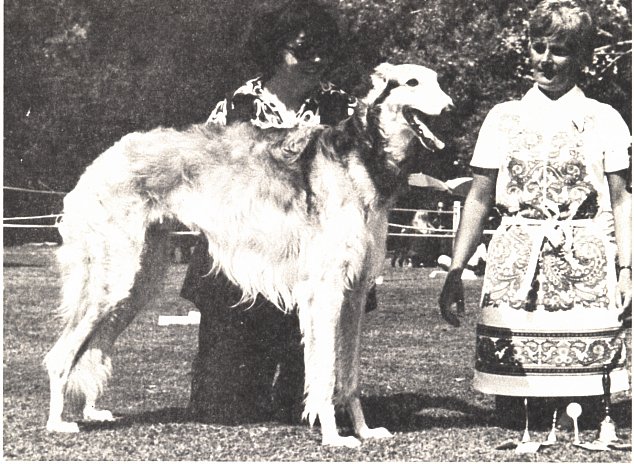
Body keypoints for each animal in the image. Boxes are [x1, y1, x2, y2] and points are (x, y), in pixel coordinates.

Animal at [43, 61, 450, 446]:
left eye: (438, 80)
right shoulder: (325, 291)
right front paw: (334, 437)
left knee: (94, 347)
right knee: (61, 356)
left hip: (138, 282)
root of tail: (102, 160)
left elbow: (348, 376)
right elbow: (324, 374)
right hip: (111, 279)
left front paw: (365, 431)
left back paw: (92, 411)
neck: (360, 156)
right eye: (412, 82)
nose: (449, 107)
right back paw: (57, 423)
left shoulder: (355, 292)